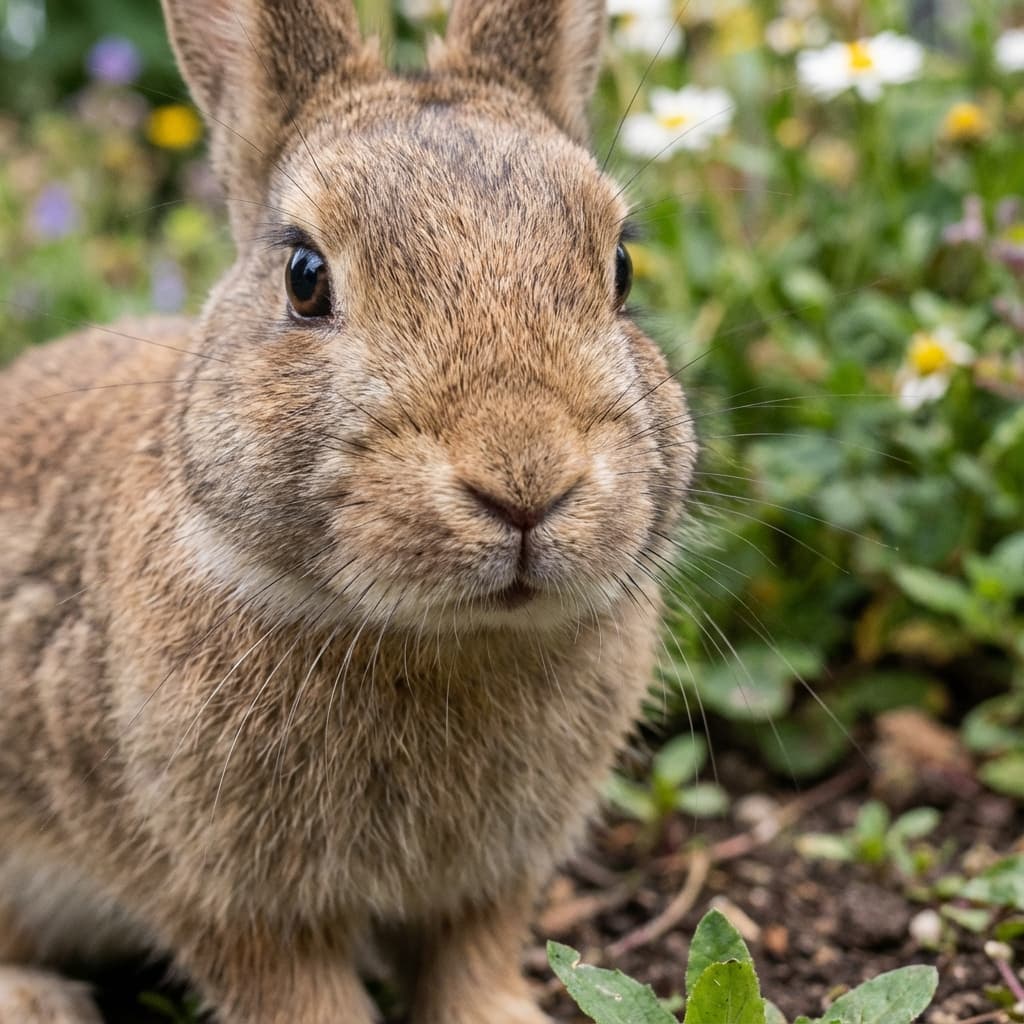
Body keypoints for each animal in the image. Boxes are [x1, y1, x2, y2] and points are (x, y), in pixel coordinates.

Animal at [0, 0, 696, 1021]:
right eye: (304, 277)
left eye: (622, 265)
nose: (525, 480)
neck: (435, 640)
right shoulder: (226, 893)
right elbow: (297, 989)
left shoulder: (490, 878)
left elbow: (471, 958)